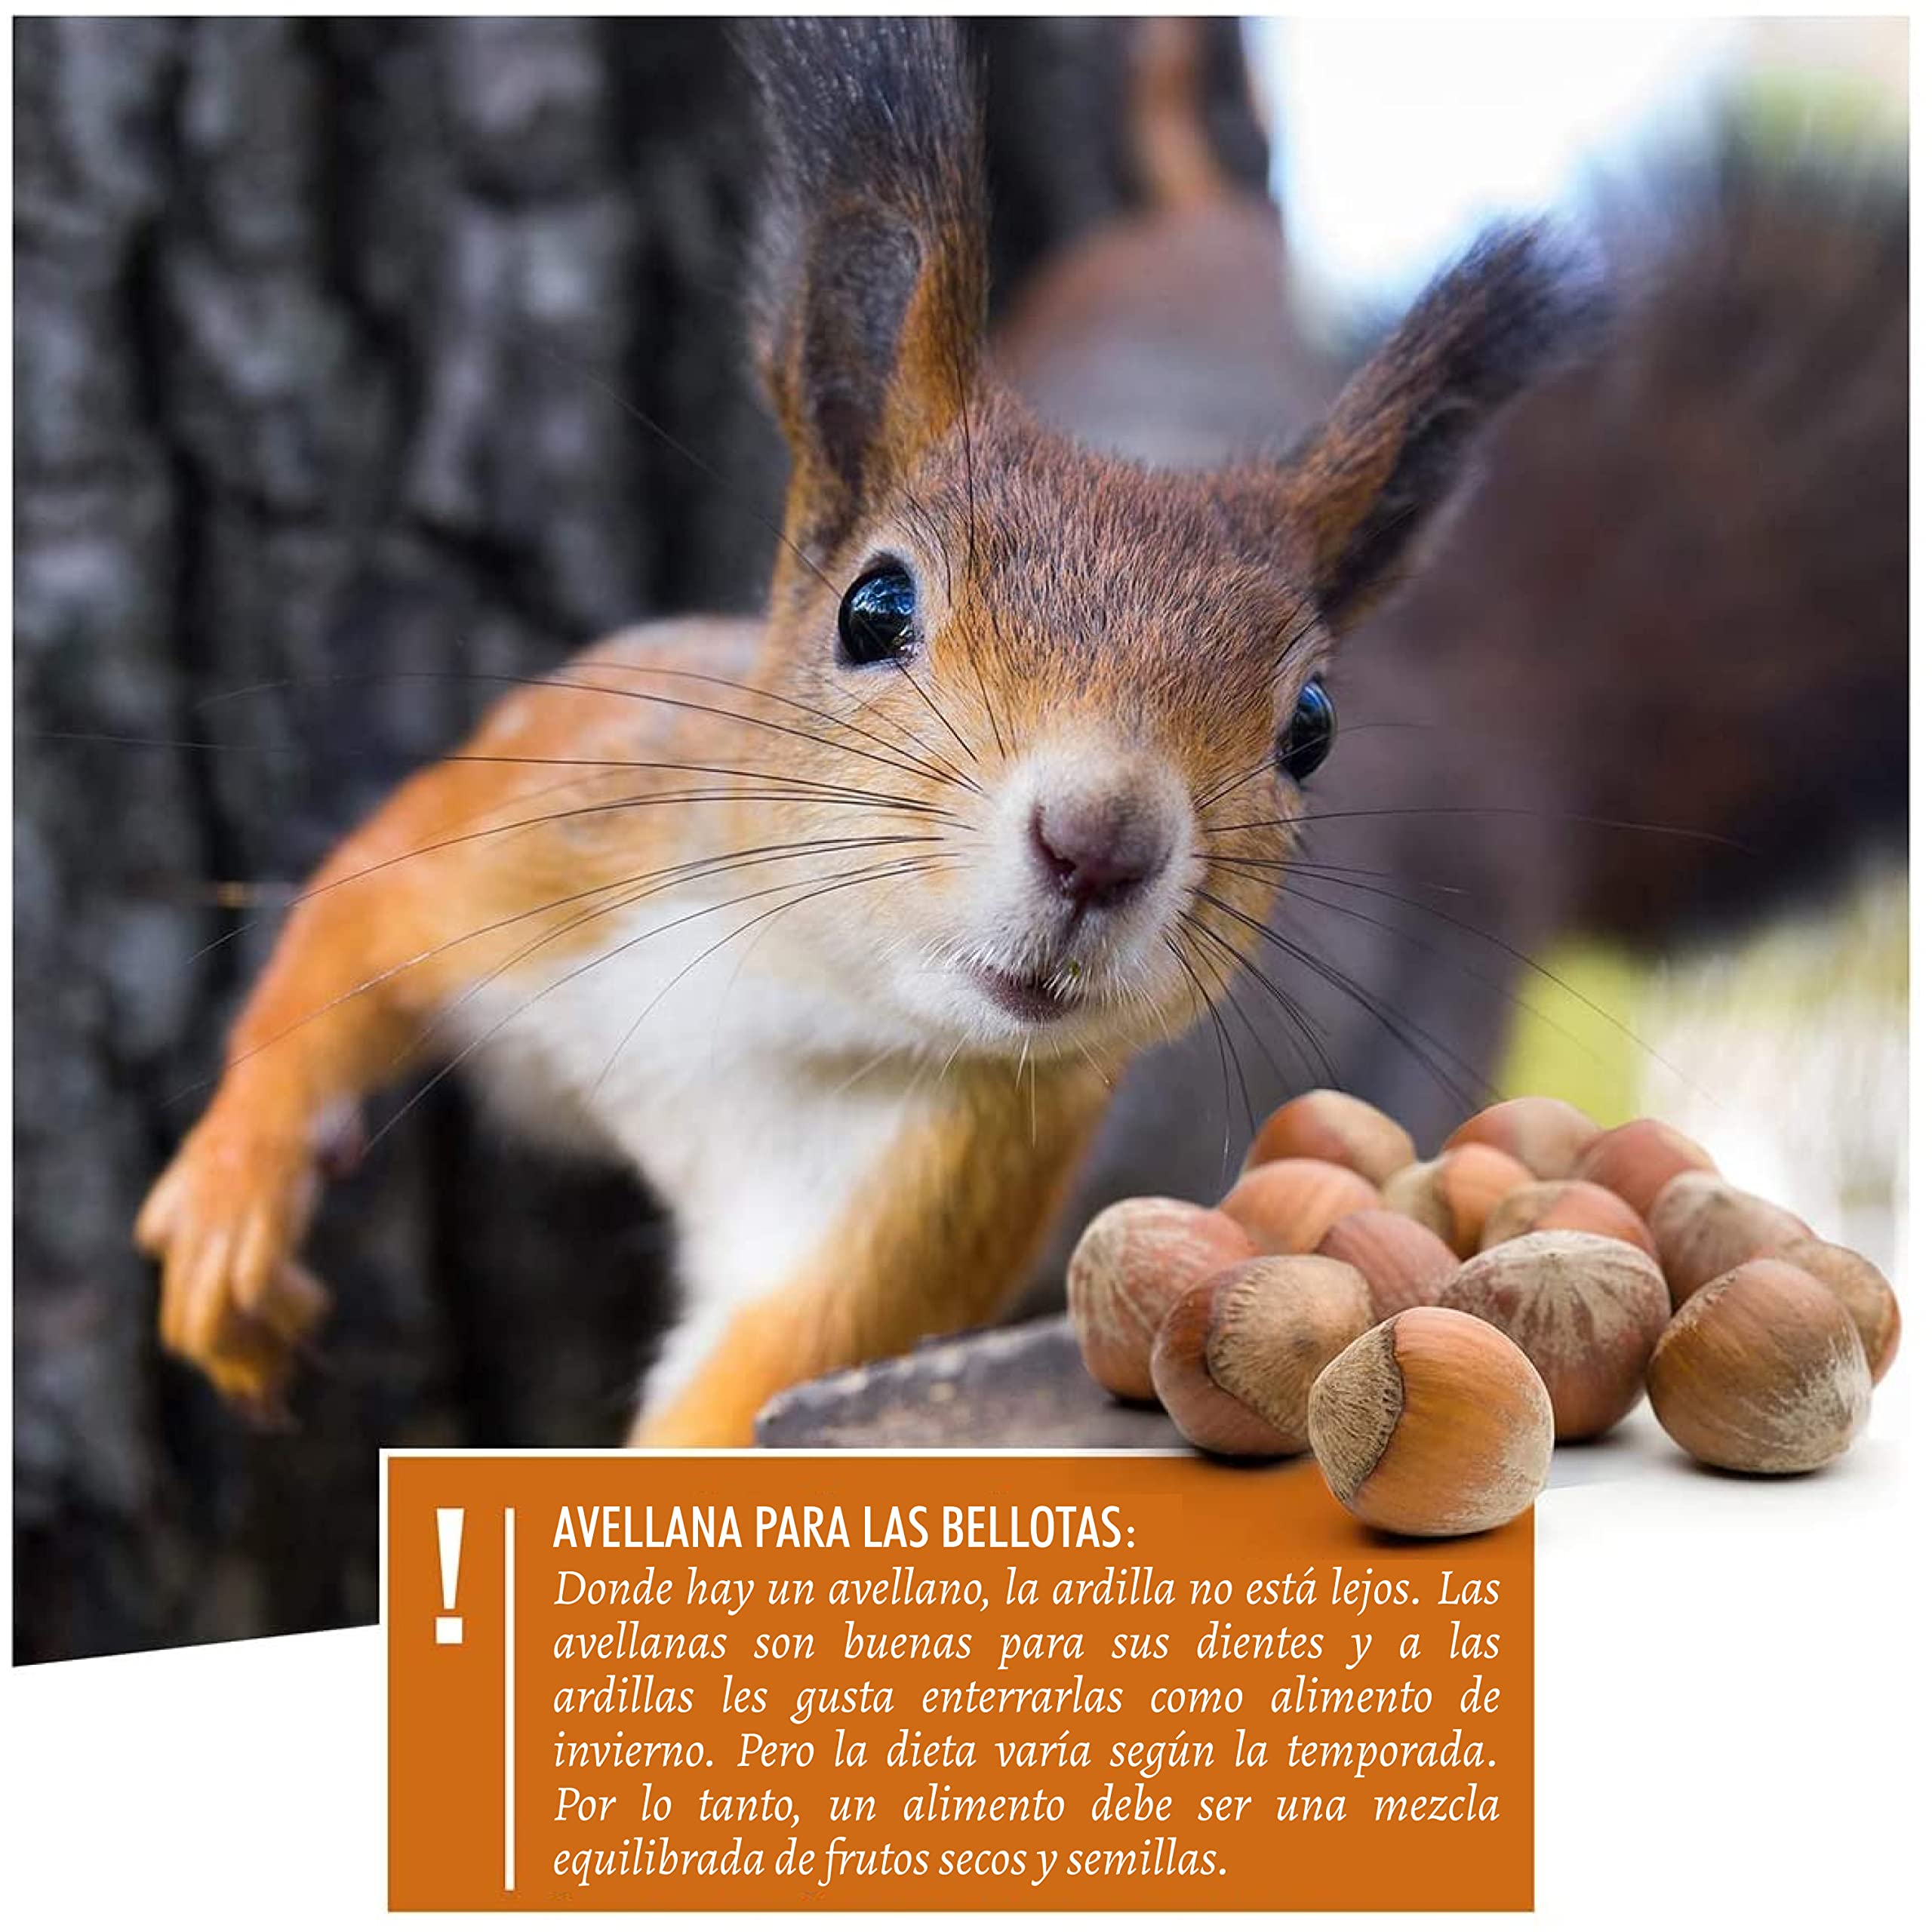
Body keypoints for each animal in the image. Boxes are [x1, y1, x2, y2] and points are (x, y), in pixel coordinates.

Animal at [133, 19, 1596, 1444]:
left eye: (1312, 729)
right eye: (873, 605)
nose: (1099, 846)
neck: (785, 972)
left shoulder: (931, 1194)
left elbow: (751, 1394)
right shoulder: (560, 808)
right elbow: (352, 917)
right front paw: (234, 1192)